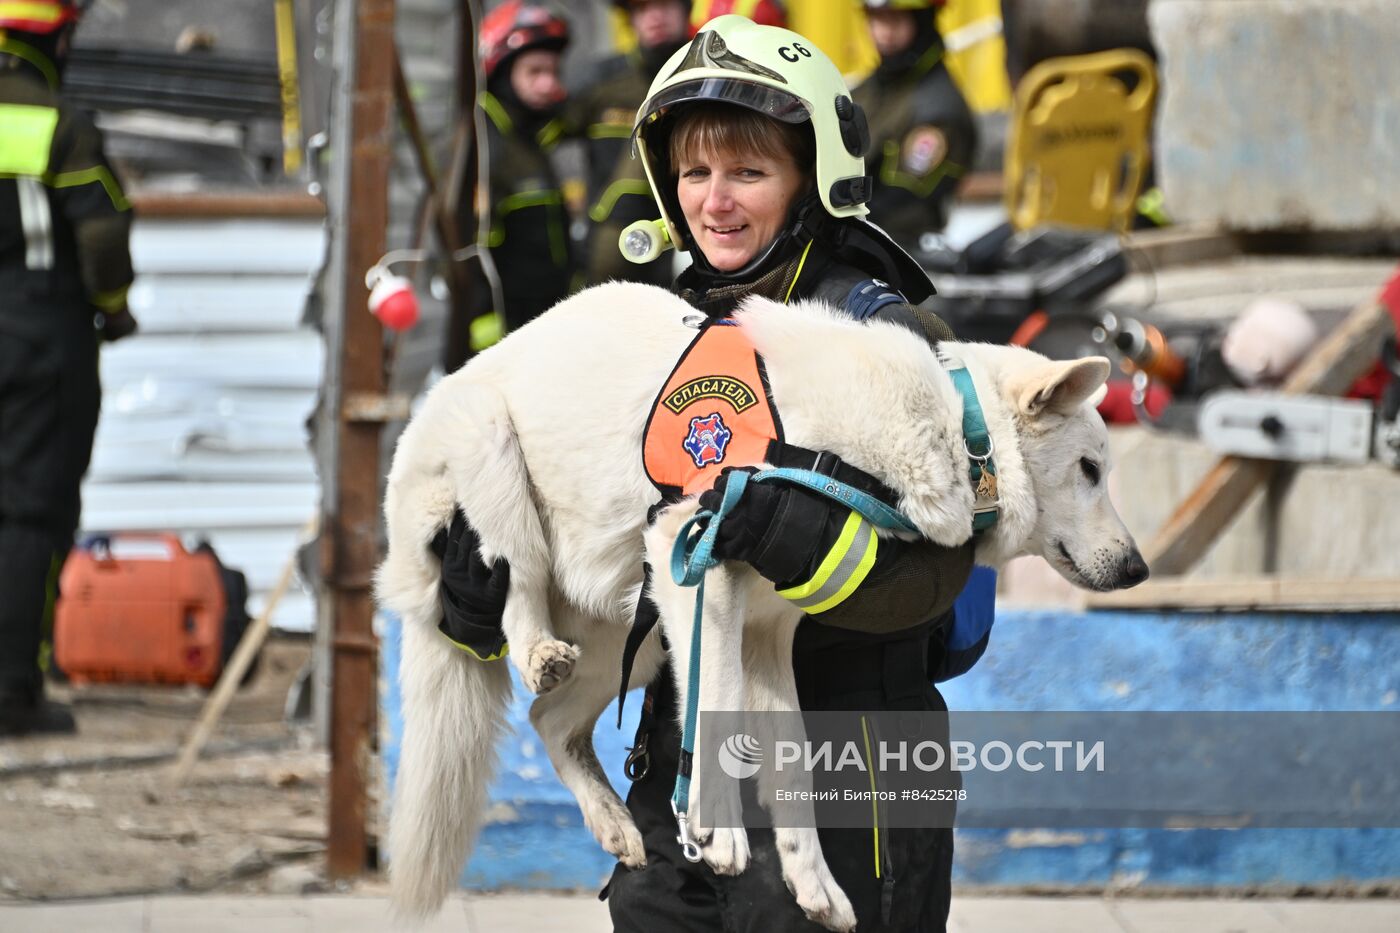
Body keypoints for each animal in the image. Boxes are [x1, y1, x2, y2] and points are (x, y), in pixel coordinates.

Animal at [378, 281, 1142, 924]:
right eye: (1090, 470)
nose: (1138, 567)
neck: (949, 426)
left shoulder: (766, 634)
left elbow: (795, 767)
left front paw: (812, 883)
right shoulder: (697, 567)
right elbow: (713, 708)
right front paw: (717, 831)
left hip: (637, 631)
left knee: (551, 720)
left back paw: (614, 822)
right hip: (499, 465)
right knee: (518, 593)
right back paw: (538, 650)